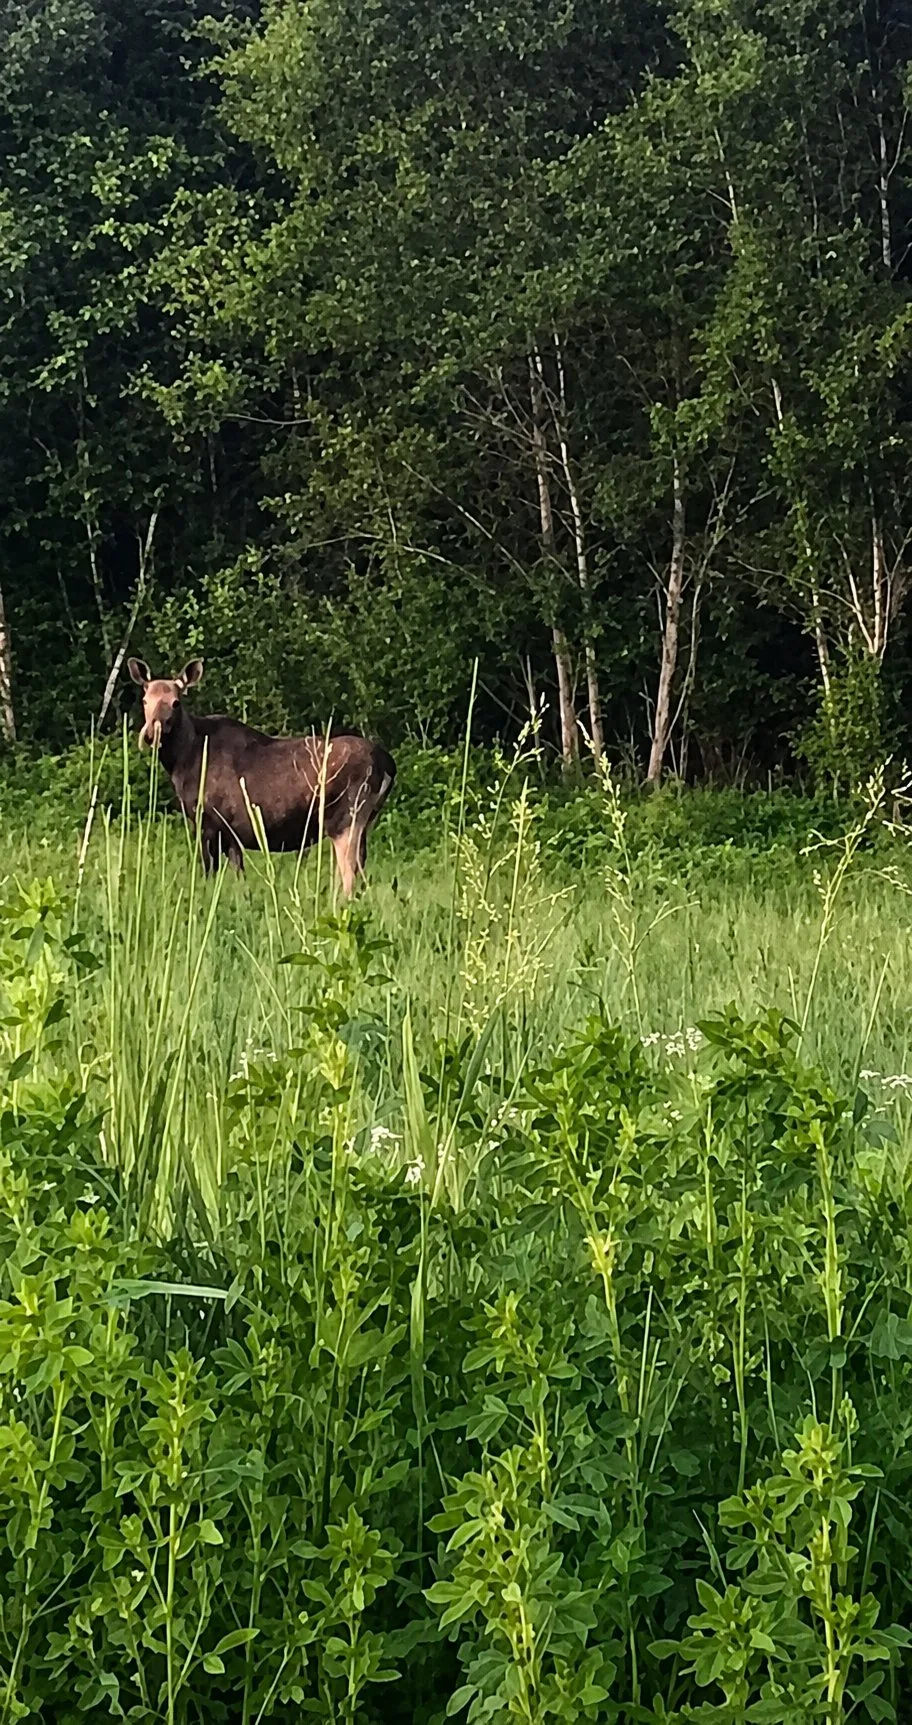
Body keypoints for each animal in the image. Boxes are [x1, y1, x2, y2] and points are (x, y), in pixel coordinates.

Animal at [127, 658, 396, 896]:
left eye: (175, 702)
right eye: (144, 700)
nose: (150, 735)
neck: (183, 760)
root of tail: (388, 765)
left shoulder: (207, 822)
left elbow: (208, 874)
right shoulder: (232, 833)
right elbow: (239, 877)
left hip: (347, 818)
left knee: (349, 875)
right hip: (365, 822)